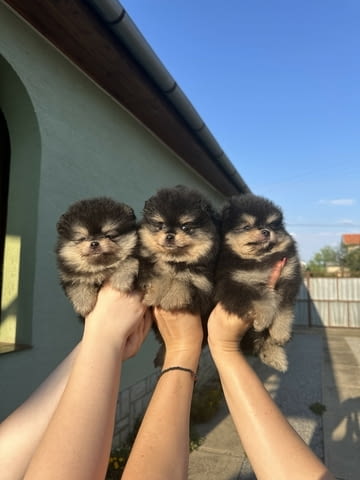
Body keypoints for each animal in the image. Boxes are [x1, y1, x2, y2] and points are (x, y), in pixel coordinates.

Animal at [138, 186, 219, 366]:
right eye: (160, 225)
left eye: (185, 227)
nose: (169, 235)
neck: (176, 262)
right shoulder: (149, 269)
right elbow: (160, 277)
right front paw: (155, 293)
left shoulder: (203, 286)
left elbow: (182, 283)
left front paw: (171, 298)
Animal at [215, 193, 302, 374]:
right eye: (247, 226)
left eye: (271, 225)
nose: (266, 231)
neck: (260, 259)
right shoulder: (233, 284)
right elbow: (262, 298)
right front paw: (263, 319)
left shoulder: (288, 279)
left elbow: (283, 310)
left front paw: (280, 333)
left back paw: (275, 356)